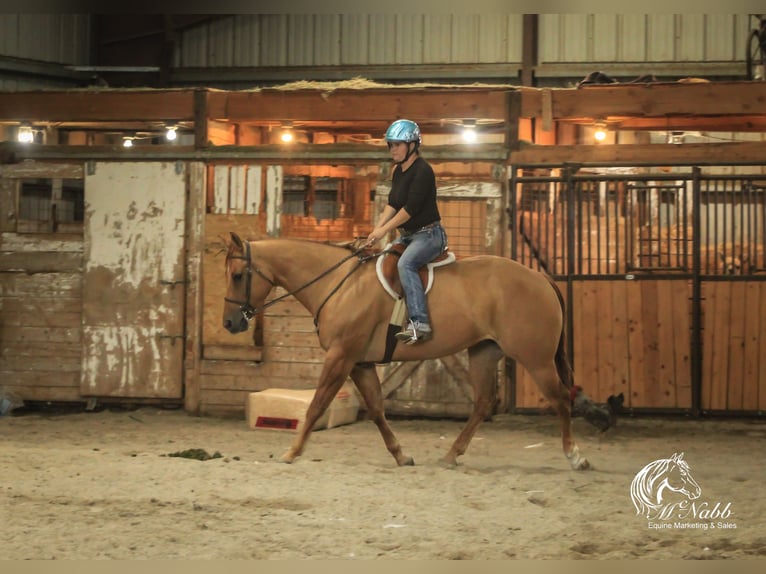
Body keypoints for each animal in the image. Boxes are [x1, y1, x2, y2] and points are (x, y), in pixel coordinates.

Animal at [222, 234, 592, 472]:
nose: (229, 322)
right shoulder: (360, 363)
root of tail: (540, 278)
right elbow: (376, 410)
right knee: (483, 402)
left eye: (238, 275)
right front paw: (401, 456)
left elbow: (316, 406)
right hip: (484, 352)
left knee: (561, 398)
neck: (340, 284)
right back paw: (452, 454)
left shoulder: (340, 357)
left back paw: (575, 456)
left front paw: (292, 451)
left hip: (536, 358)